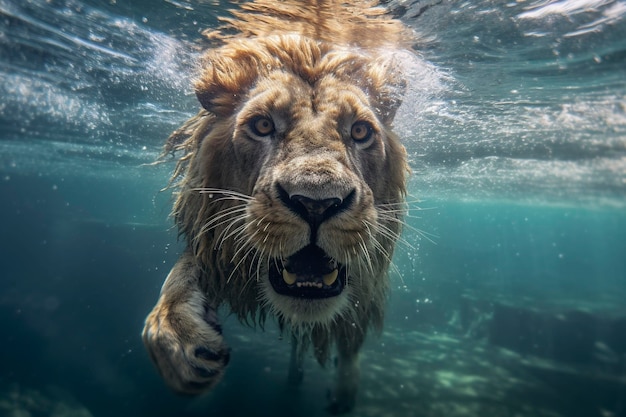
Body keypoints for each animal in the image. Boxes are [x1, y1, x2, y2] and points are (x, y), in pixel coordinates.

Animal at [141, 0, 414, 412]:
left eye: (360, 131)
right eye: (263, 126)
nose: (316, 203)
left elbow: (351, 336)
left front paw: (345, 391)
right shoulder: (213, 240)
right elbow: (182, 274)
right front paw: (177, 337)